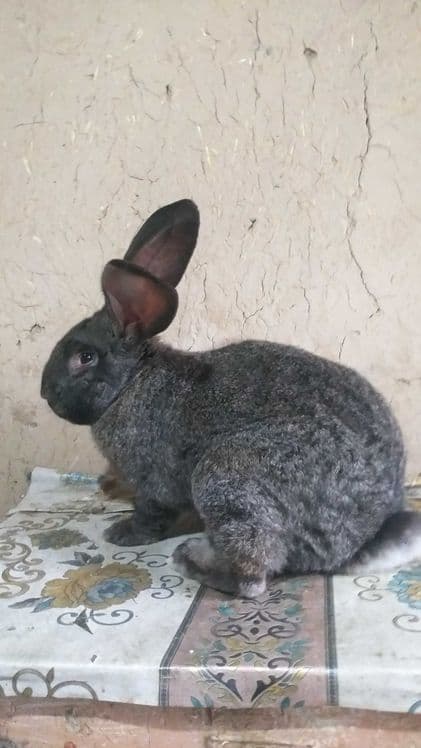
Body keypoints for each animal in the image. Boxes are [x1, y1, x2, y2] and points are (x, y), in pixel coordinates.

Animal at [41, 198, 421, 598]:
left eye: (85, 358)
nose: (45, 393)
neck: (132, 383)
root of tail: (363, 537)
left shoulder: (154, 485)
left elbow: (150, 514)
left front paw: (122, 534)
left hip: (228, 476)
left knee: (252, 576)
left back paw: (192, 561)